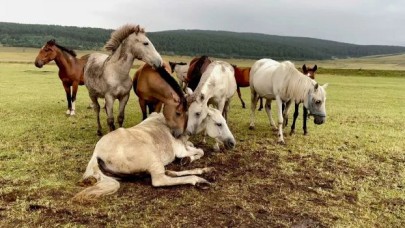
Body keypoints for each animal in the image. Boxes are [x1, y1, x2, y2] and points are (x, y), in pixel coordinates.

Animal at [72, 108, 234, 200]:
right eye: (219, 123)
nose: (232, 143)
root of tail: (97, 154)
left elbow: (194, 148)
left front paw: (188, 161)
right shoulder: (180, 150)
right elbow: (199, 151)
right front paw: (187, 160)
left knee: (168, 173)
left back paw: (205, 171)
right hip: (153, 160)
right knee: (160, 179)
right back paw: (199, 180)